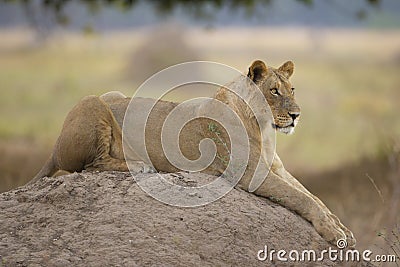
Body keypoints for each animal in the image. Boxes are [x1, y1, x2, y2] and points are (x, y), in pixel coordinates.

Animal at [30, 59, 356, 248]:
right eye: (274, 91)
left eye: (292, 88)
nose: (297, 115)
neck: (264, 128)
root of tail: (55, 147)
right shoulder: (250, 174)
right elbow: (302, 199)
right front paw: (334, 233)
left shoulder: (277, 169)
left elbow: (314, 197)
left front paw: (341, 228)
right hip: (92, 102)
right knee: (89, 165)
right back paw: (141, 165)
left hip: (112, 94)